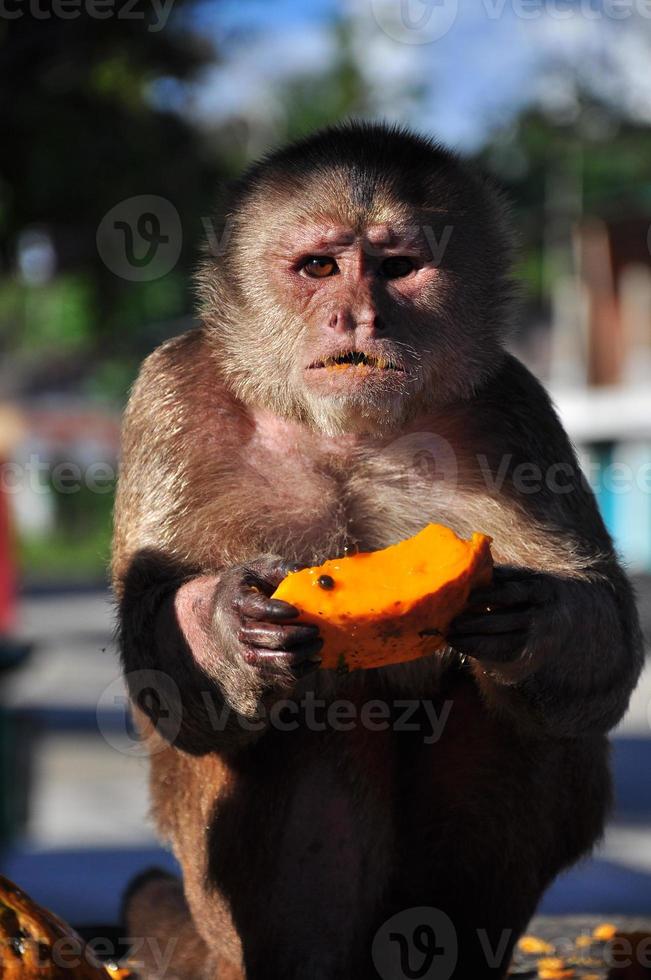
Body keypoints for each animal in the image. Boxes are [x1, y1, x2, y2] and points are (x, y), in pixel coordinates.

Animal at [111, 124, 640, 980]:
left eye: (396, 268)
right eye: (320, 268)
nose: (358, 317)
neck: (340, 432)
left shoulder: (510, 403)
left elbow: (607, 650)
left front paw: (534, 623)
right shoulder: (171, 388)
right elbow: (163, 675)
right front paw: (222, 627)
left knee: (521, 717)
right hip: (220, 925)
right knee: (313, 709)